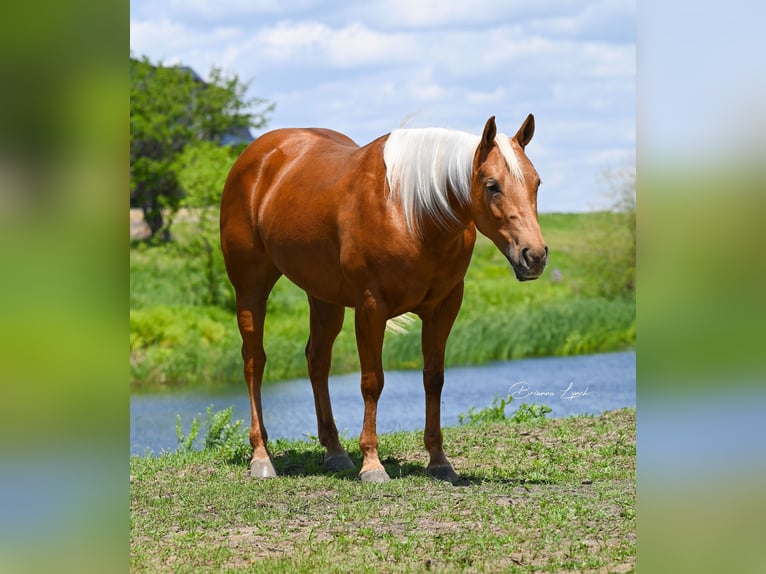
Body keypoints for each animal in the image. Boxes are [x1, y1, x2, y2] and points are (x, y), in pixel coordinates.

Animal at [219, 115, 548, 484]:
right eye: (492, 185)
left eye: (536, 183)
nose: (534, 256)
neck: (411, 211)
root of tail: (256, 157)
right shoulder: (370, 308)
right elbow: (372, 381)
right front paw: (372, 464)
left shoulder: (444, 307)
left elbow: (434, 378)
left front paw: (438, 460)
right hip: (250, 289)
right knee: (254, 362)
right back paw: (261, 456)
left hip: (324, 297)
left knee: (317, 360)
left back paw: (335, 452)